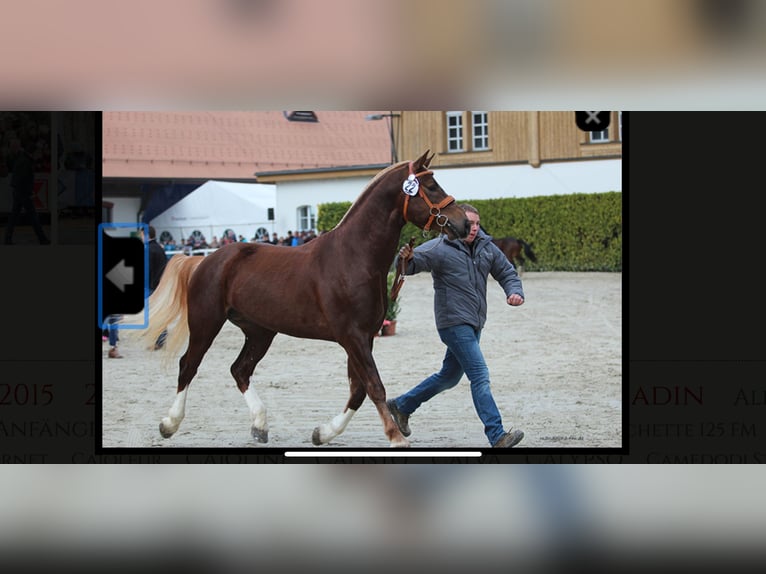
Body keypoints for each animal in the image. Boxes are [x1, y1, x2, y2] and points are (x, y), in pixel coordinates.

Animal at [141, 153, 472, 450]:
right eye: (431, 186)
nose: (464, 224)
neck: (354, 256)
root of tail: (204, 260)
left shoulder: (365, 336)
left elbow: (357, 391)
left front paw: (323, 433)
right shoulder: (352, 336)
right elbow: (374, 386)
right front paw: (395, 437)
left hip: (260, 331)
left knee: (240, 370)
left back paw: (260, 425)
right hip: (206, 323)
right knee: (188, 365)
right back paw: (169, 424)